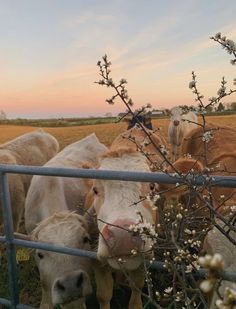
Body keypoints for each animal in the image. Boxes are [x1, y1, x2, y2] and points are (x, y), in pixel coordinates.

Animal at [88, 125, 160, 308]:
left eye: (152, 187)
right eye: (95, 190)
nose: (122, 236)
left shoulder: (145, 258)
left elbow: (137, 290)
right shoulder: (97, 260)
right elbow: (103, 295)